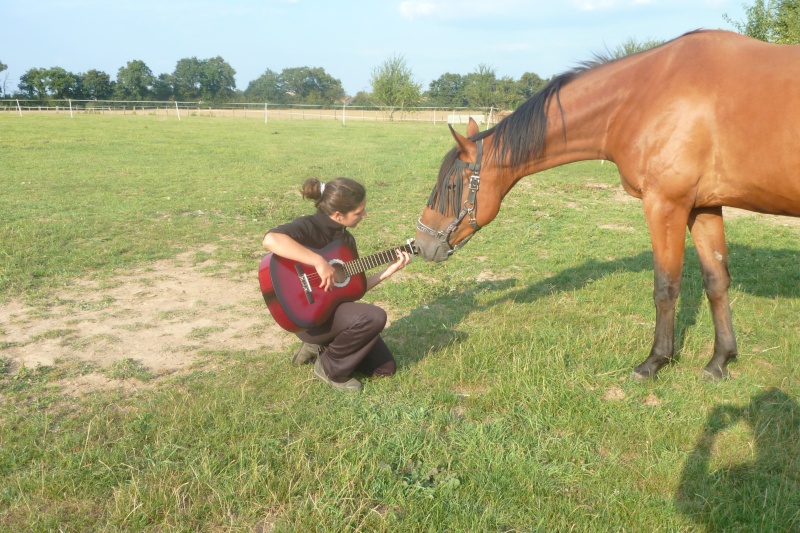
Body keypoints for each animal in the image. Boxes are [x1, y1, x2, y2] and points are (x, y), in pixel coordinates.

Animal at [412, 30, 800, 378]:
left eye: (451, 185)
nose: (421, 243)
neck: (645, 97)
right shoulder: (703, 207)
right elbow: (716, 281)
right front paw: (720, 361)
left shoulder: (666, 205)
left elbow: (666, 286)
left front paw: (655, 361)